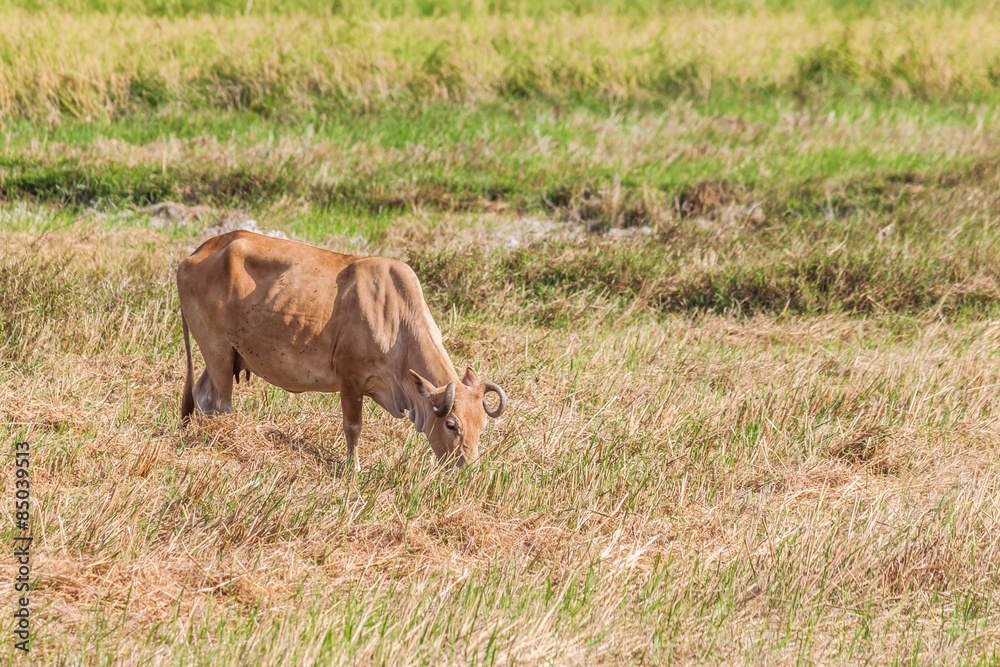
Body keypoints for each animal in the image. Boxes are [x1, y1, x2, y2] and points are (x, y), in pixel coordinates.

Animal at [177, 230, 507, 469]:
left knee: (201, 394)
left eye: (481, 426)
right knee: (219, 403)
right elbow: (353, 427)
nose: (467, 468)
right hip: (217, 349)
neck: (397, 319)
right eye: (451, 424)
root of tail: (200, 250)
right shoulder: (350, 379)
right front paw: (354, 469)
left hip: (225, 355)